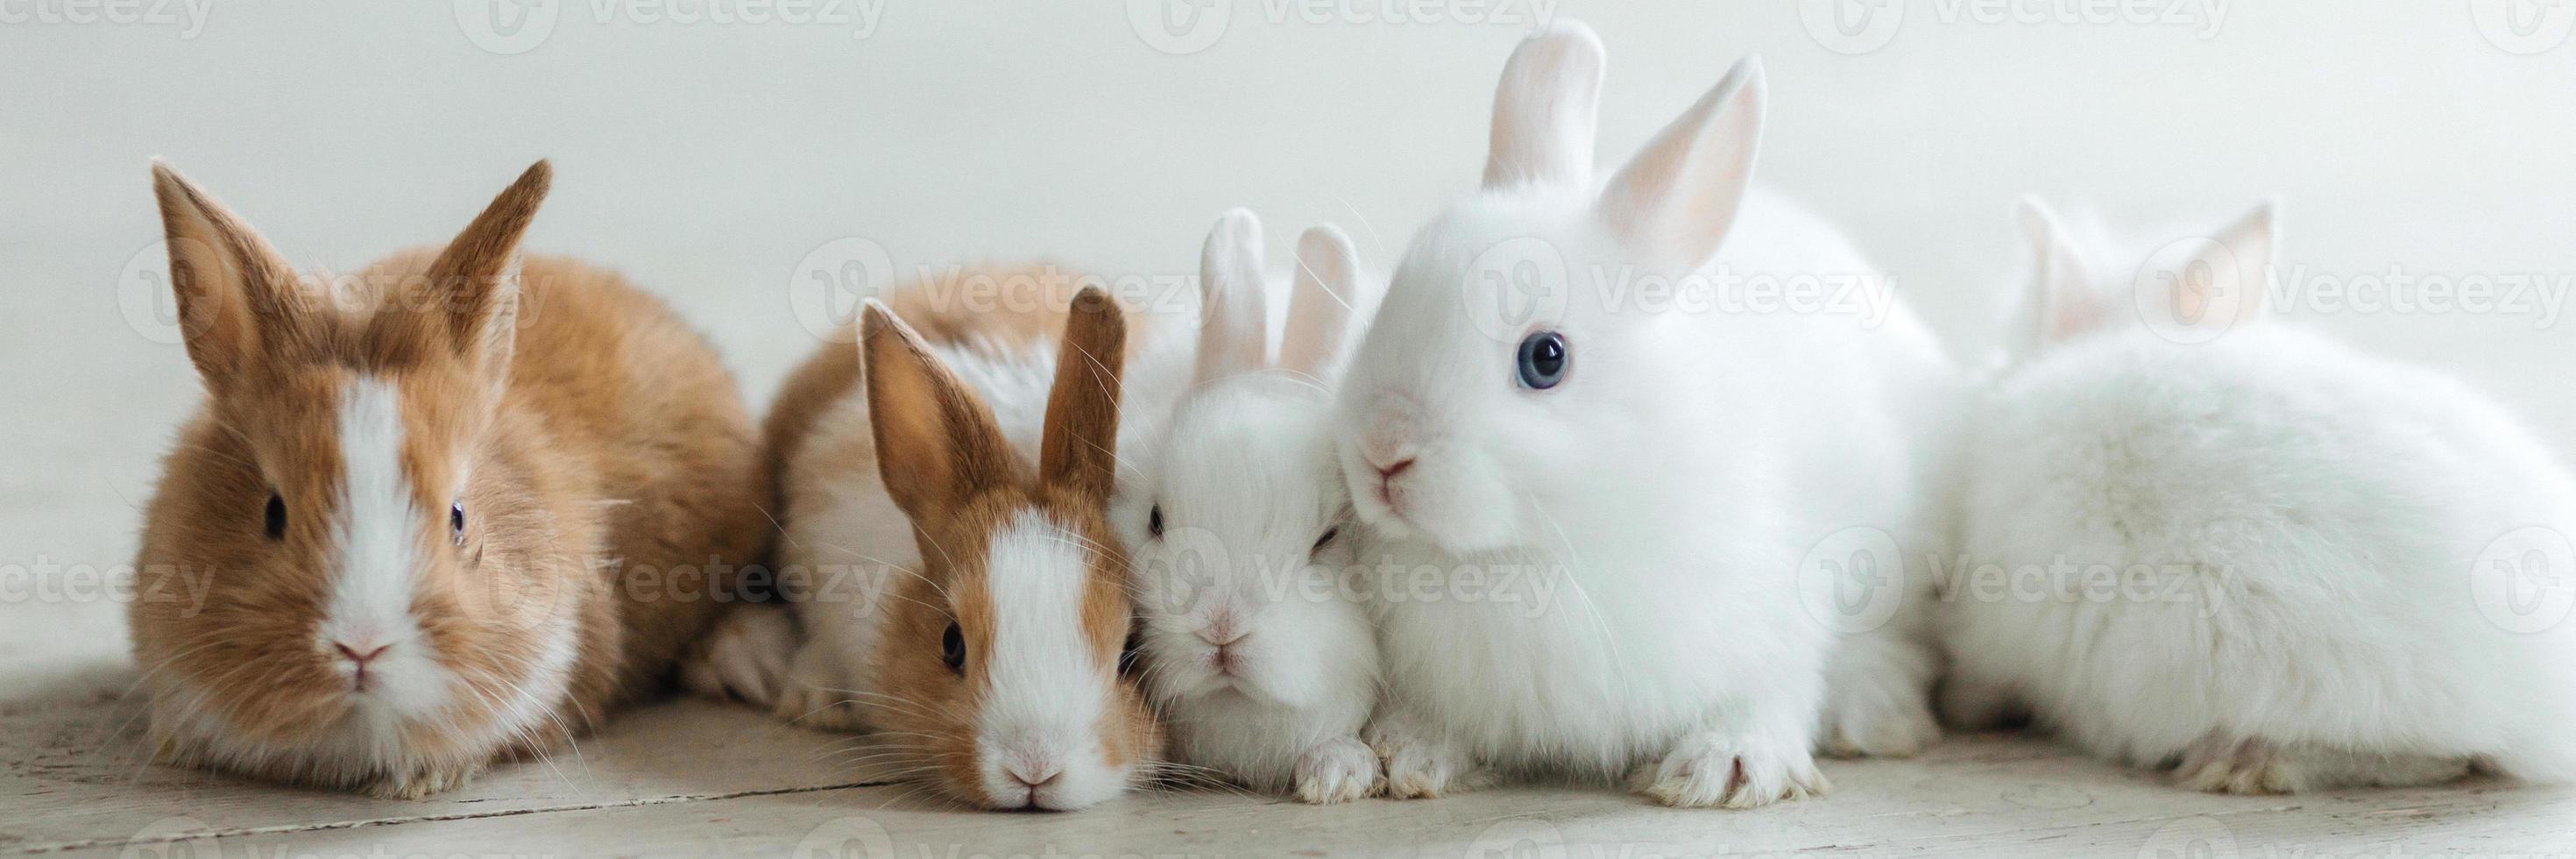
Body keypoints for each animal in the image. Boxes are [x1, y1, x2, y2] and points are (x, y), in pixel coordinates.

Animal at [1339, 21, 1957, 810]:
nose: (1383, 447)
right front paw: (1410, 751)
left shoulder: (1780, 619)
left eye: (1545, 358)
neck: (1526, 555)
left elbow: (1774, 691)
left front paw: (1726, 766)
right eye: (1391, 301)